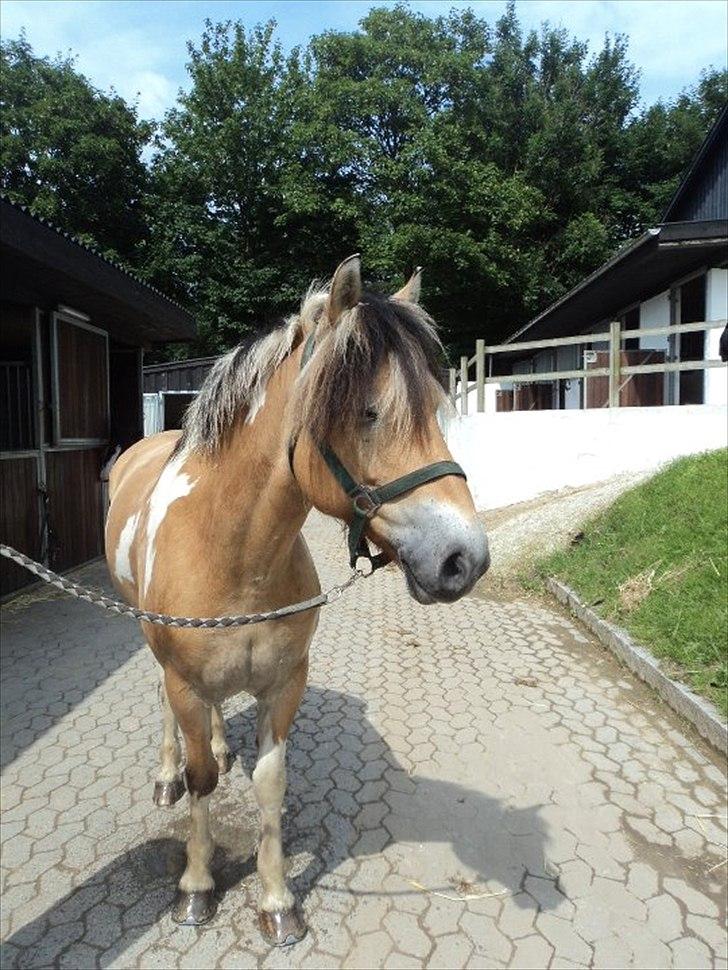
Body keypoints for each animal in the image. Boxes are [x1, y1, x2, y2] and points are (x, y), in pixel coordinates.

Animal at [104, 253, 490, 940]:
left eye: (435, 406)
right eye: (368, 411)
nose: (463, 559)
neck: (234, 557)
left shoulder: (285, 683)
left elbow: (269, 783)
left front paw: (277, 899)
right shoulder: (184, 680)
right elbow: (201, 782)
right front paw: (196, 887)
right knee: (169, 716)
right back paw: (166, 775)